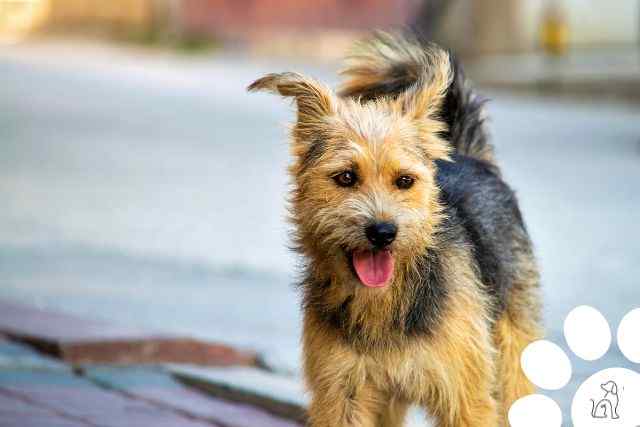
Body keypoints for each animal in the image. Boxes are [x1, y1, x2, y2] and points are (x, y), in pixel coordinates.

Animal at [248, 31, 544, 426]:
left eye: (404, 180)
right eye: (345, 177)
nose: (383, 232)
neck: (386, 303)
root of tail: (469, 156)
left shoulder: (465, 399)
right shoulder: (342, 396)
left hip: (511, 351)